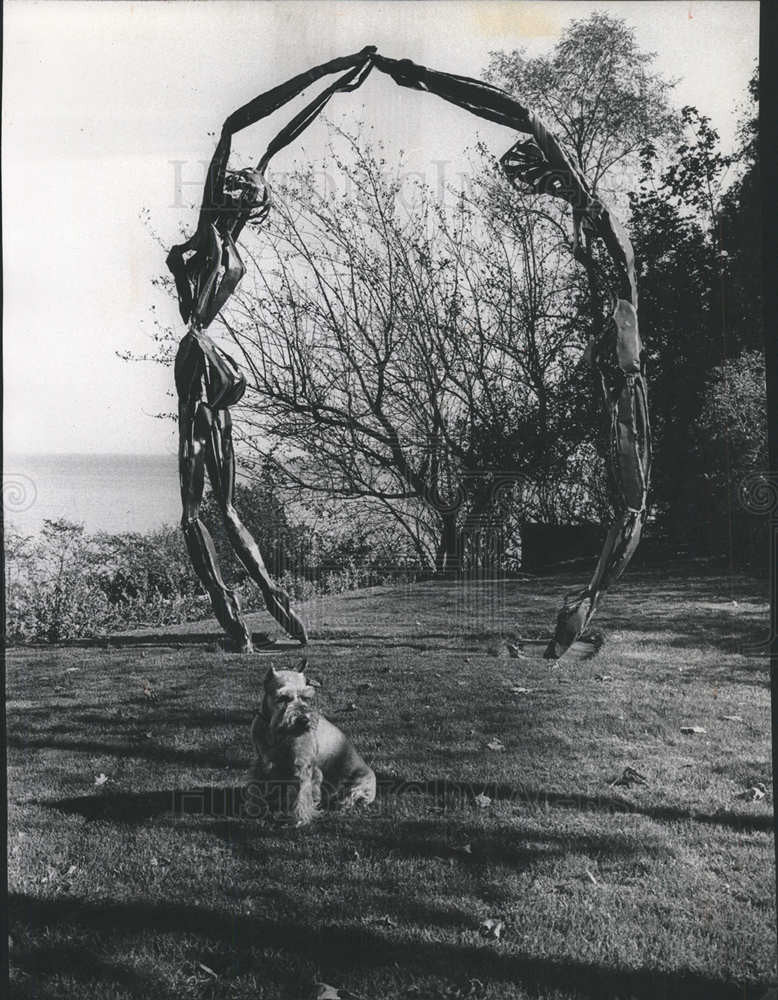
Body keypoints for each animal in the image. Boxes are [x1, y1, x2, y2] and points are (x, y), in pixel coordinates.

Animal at [246, 668, 372, 824]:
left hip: (357, 786)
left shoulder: (302, 765)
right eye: (283, 697)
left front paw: (300, 819)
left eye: (306, 697)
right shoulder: (262, 760)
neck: (274, 730)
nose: (304, 720)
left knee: (350, 799)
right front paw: (255, 807)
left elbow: (302, 794)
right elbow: (256, 785)